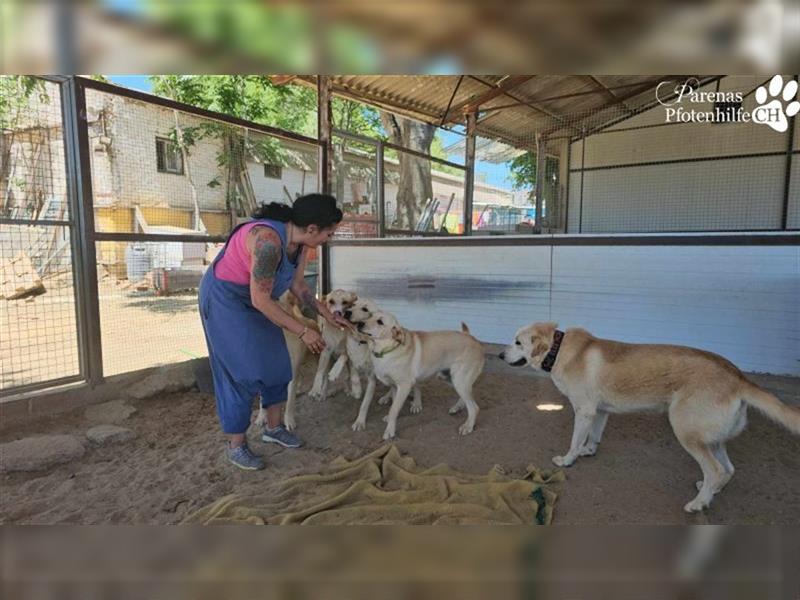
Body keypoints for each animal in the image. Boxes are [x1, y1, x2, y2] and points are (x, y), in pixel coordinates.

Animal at [500, 322, 800, 512]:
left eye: (517, 342)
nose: (501, 355)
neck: (559, 348)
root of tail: (738, 378)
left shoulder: (584, 411)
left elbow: (575, 441)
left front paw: (568, 460)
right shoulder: (600, 412)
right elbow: (594, 437)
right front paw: (589, 451)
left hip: (686, 430)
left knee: (715, 469)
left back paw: (698, 504)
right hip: (712, 438)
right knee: (727, 470)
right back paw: (709, 492)